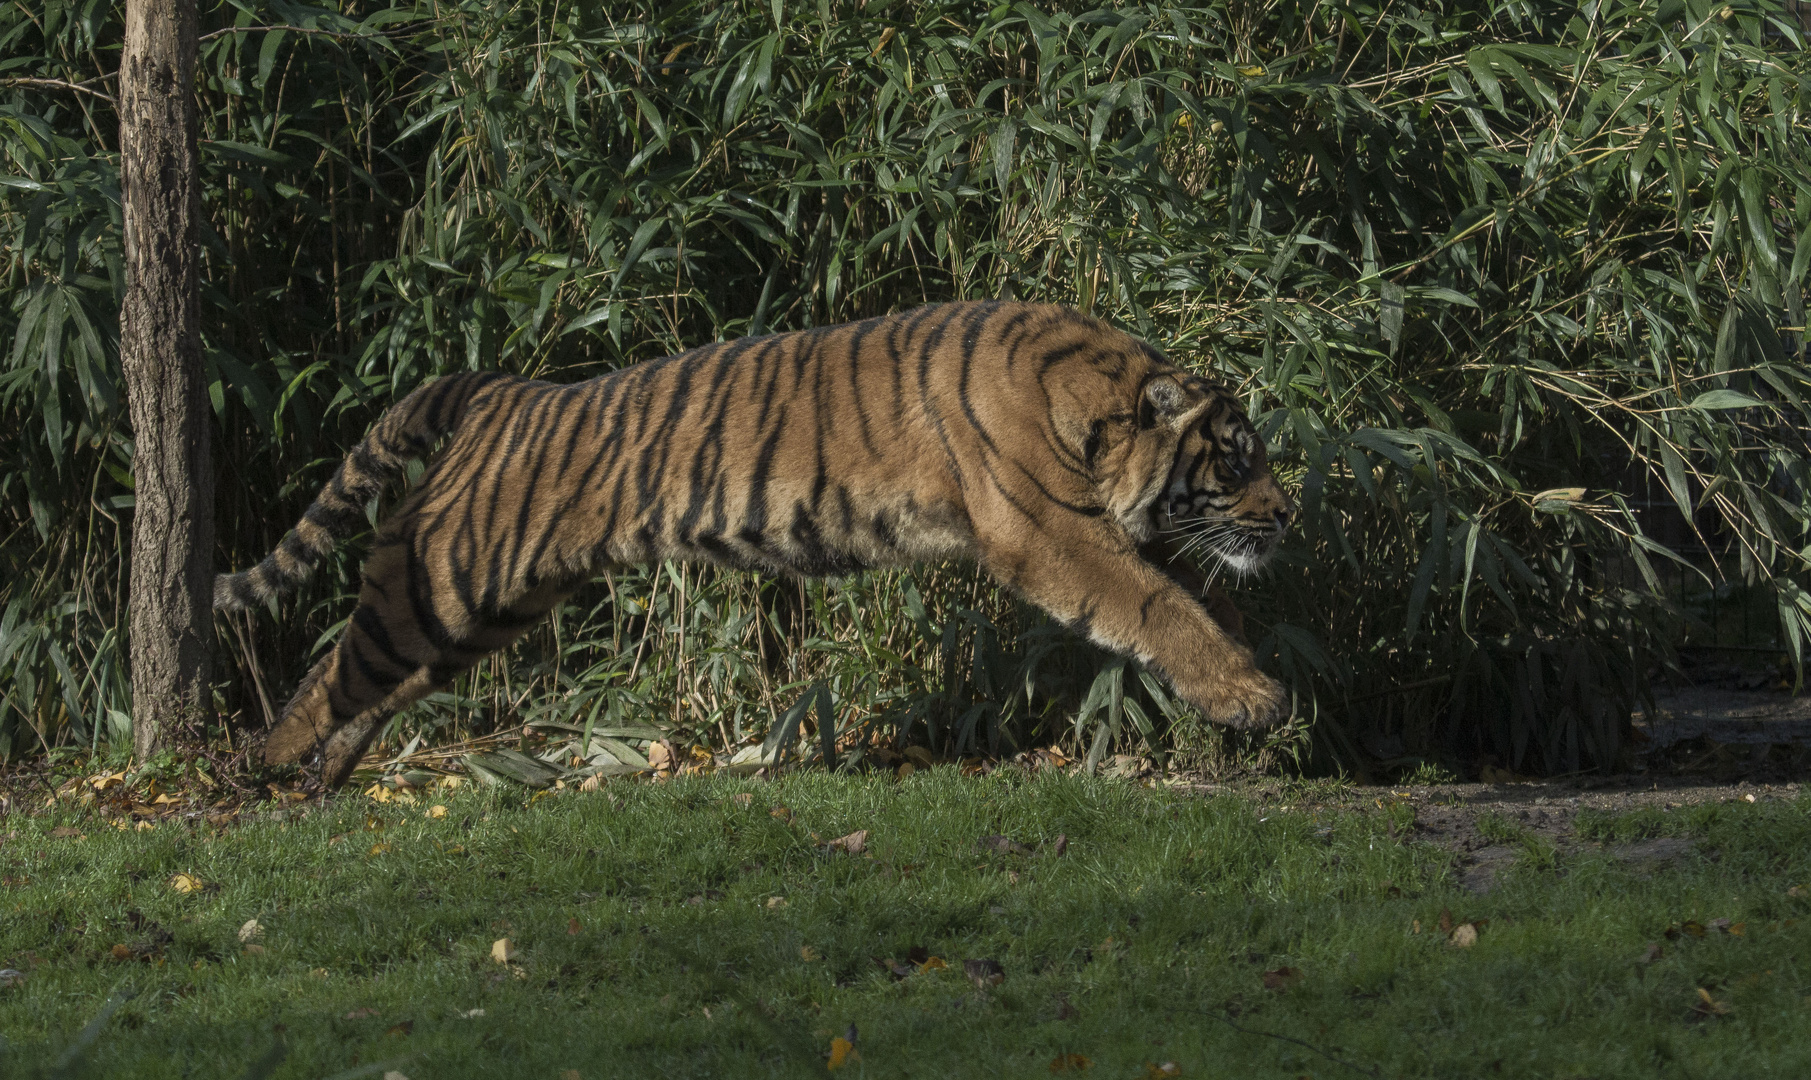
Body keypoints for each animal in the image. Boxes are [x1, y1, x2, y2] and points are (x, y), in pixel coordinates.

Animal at [219, 298, 1296, 790]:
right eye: (1238, 458)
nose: (1287, 514)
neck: (1102, 404)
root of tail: (506, 392)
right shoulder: (1051, 532)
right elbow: (1157, 605)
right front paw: (1252, 697)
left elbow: (1197, 598)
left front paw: (1252, 671)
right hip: (443, 579)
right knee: (334, 670)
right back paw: (267, 767)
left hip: (486, 610)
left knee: (371, 681)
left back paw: (323, 774)